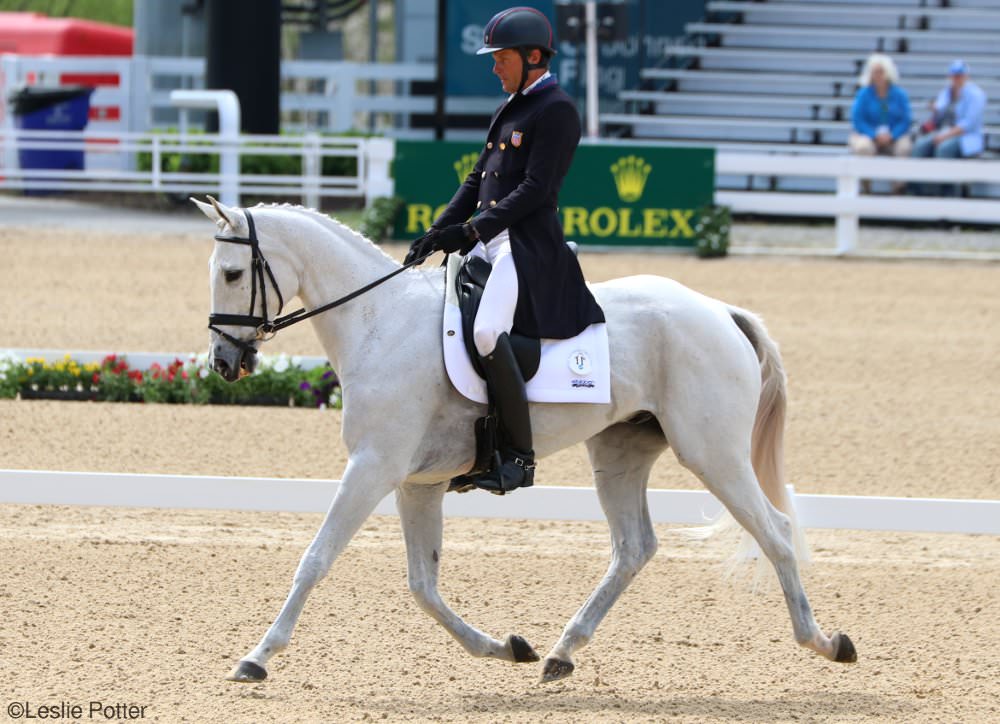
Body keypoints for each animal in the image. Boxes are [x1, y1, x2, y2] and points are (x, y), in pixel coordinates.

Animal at [195, 198, 860, 684]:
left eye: (232, 274)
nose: (225, 363)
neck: (378, 324)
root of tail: (720, 310)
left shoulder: (373, 467)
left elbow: (316, 558)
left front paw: (256, 656)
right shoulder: (416, 483)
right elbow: (423, 586)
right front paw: (505, 647)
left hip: (712, 453)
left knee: (775, 531)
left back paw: (826, 642)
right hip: (619, 453)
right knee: (634, 547)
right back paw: (562, 652)